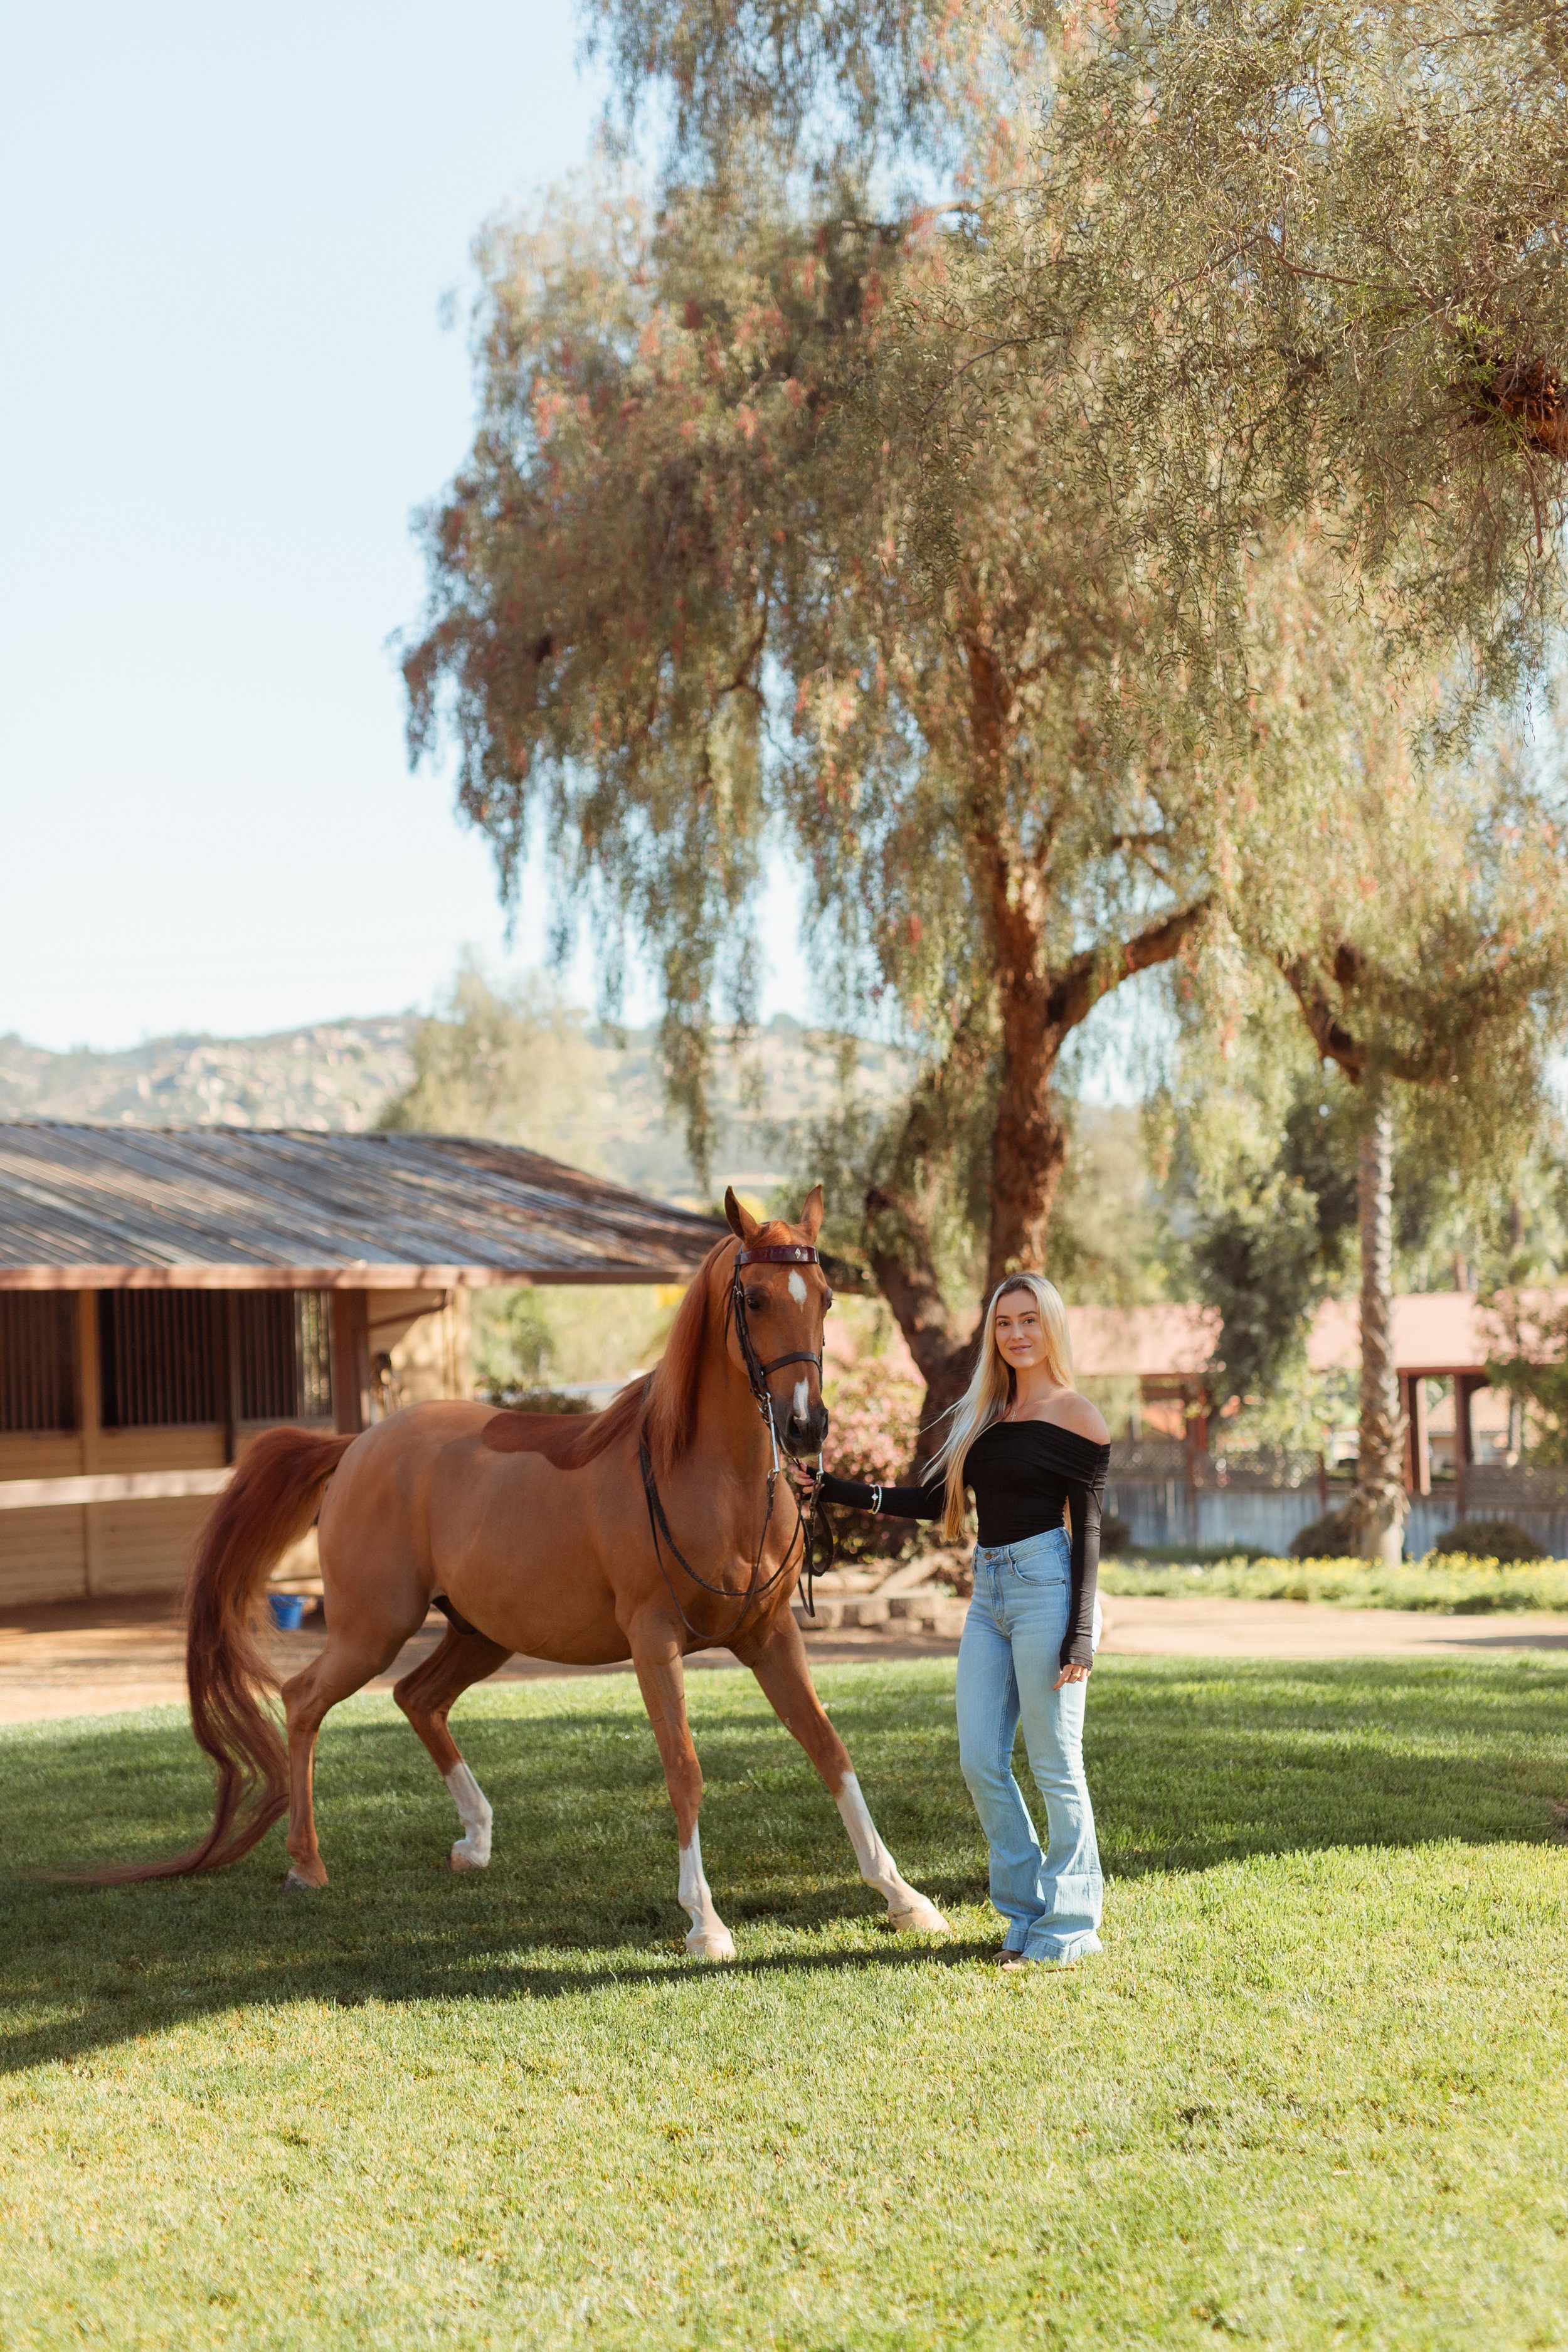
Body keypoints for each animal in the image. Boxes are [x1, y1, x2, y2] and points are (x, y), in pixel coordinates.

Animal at [105, 1185, 949, 1957]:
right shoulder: (654, 1644)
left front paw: (903, 1896)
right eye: (753, 1295)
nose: (807, 1426)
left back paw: (474, 1839)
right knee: (304, 1699)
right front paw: (704, 1922)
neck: (706, 1479)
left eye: (826, 1298)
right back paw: (306, 1864)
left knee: (418, 1698)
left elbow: (831, 1751)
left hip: (479, 1634)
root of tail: (358, 1445)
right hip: (372, 1631)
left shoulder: (770, 1637)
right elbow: (684, 1768)